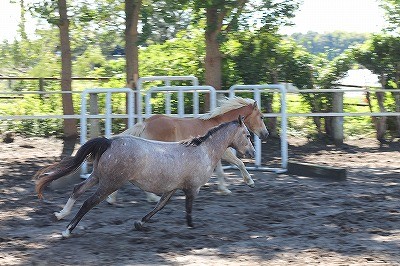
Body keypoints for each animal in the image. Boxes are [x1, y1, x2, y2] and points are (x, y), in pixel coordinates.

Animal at [32, 116, 255, 237]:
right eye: (247, 135)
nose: (252, 152)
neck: (204, 150)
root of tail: (109, 142)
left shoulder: (172, 188)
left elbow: (159, 206)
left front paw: (140, 223)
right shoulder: (192, 188)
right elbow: (188, 209)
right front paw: (192, 225)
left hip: (97, 176)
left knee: (77, 190)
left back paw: (60, 214)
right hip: (110, 183)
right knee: (88, 202)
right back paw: (67, 230)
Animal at [108, 96, 268, 203]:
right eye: (261, 117)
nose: (266, 134)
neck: (222, 126)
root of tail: (146, 123)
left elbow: (220, 171)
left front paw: (224, 190)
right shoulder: (225, 152)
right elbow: (239, 163)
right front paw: (250, 182)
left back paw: (115, 198)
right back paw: (151, 197)